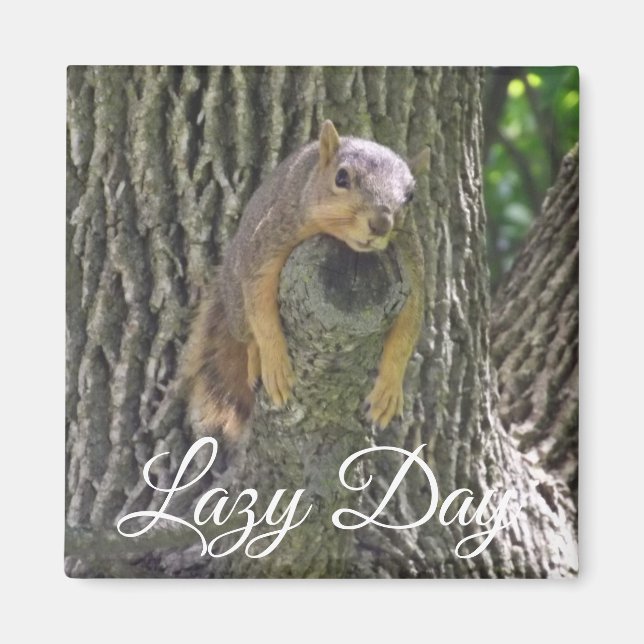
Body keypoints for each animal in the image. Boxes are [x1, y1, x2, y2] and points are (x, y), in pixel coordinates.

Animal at [182, 120, 426, 438]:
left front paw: (389, 390)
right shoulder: (272, 238)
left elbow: (407, 331)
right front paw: (274, 362)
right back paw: (256, 358)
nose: (381, 223)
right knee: (247, 332)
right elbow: (261, 305)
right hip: (236, 301)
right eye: (342, 177)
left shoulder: (411, 266)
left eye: (410, 196)